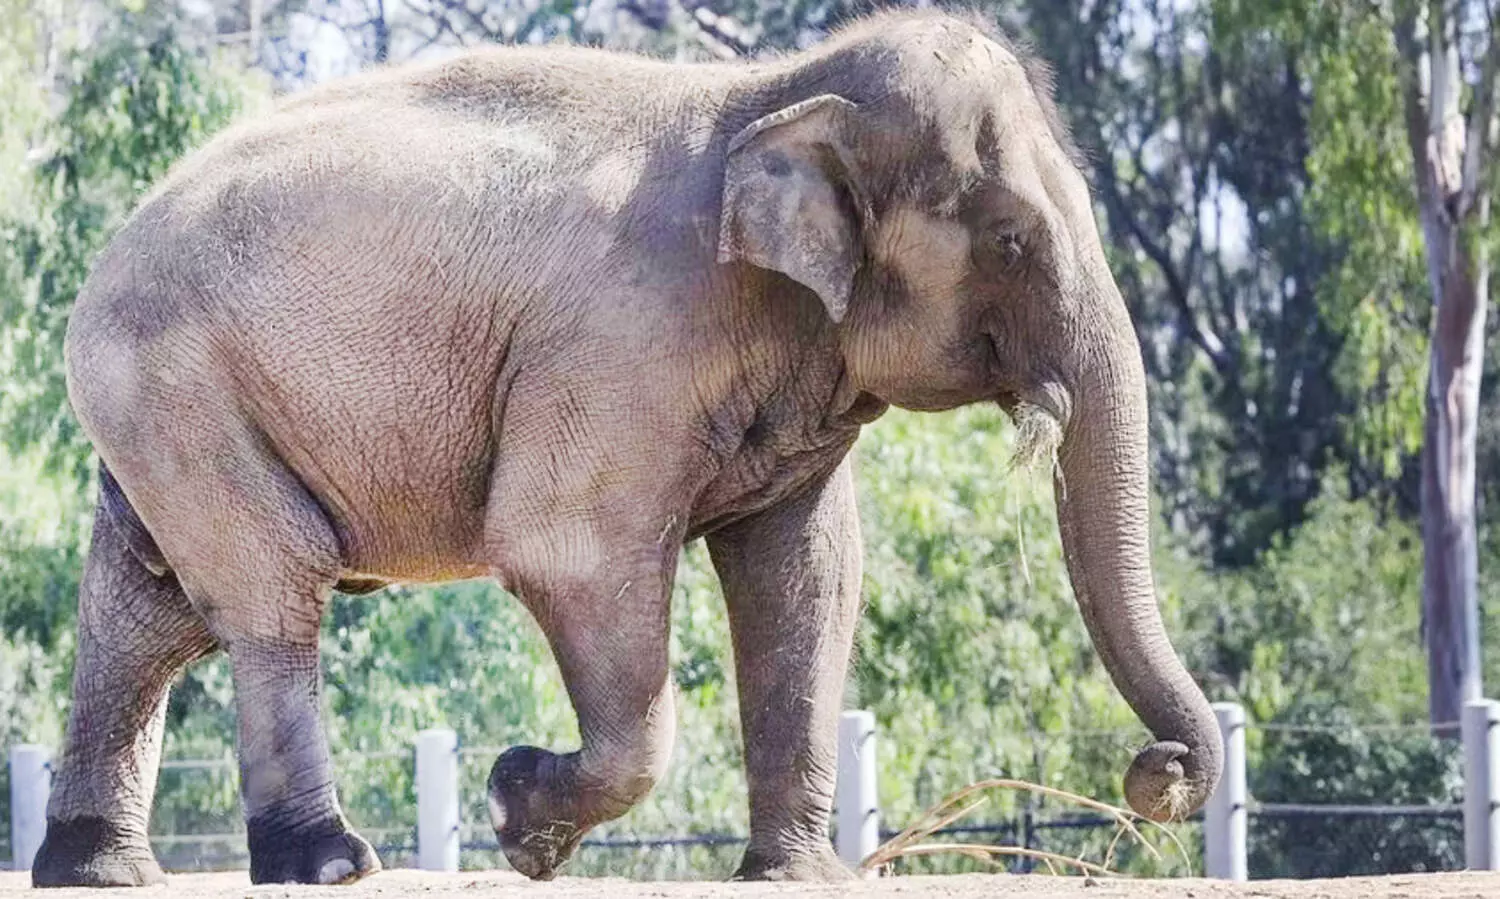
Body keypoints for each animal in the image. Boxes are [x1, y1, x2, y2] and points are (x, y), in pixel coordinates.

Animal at [32, 8, 1223, 888]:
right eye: (1012, 239)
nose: (1157, 772)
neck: (770, 91)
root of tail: (101, 257)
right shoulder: (618, 347)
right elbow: (568, 551)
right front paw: (518, 814)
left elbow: (806, 574)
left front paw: (796, 878)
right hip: (178, 387)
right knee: (271, 589)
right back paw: (327, 864)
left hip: (160, 406)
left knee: (146, 611)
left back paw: (99, 872)